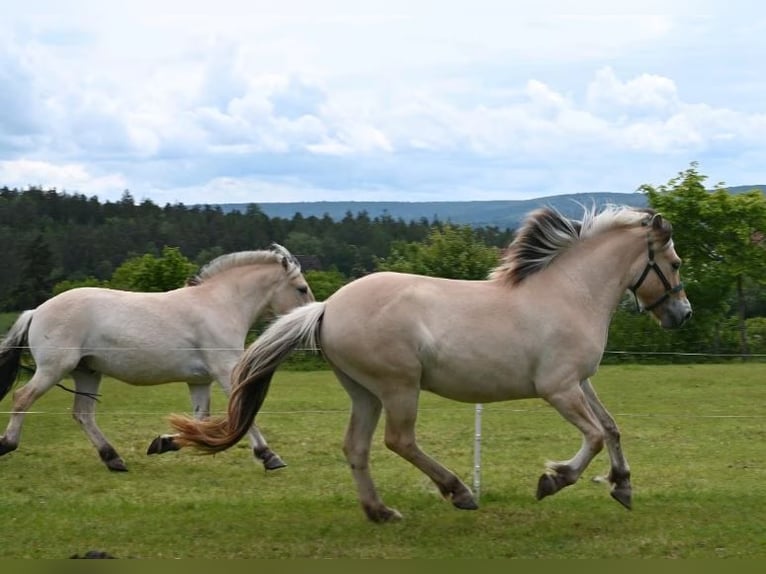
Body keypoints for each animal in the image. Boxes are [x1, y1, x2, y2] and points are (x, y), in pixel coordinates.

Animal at [0, 244, 314, 472]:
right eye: (301, 288)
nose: (310, 329)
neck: (220, 305)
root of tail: (36, 311)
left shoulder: (200, 381)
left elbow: (199, 419)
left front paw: (163, 443)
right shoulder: (226, 371)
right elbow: (243, 413)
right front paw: (269, 456)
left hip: (87, 372)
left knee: (83, 414)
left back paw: (113, 459)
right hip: (54, 369)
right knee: (22, 398)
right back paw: (7, 444)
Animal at [169, 206, 692, 522]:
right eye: (676, 263)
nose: (682, 314)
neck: (570, 293)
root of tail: (327, 308)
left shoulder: (580, 382)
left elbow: (612, 428)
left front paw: (622, 487)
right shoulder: (558, 387)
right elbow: (596, 436)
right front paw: (553, 480)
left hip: (364, 392)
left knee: (356, 447)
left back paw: (381, 512)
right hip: (399, 386)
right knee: (398, 441)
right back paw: (459, 492)